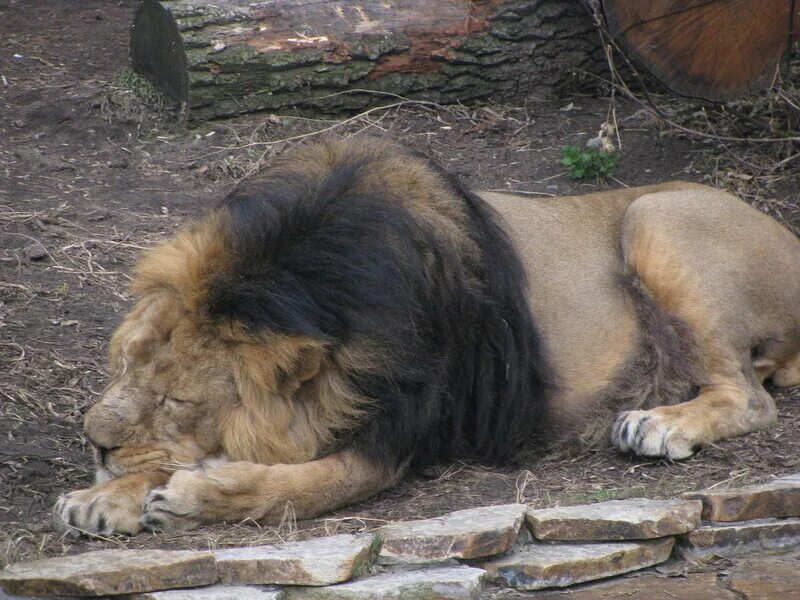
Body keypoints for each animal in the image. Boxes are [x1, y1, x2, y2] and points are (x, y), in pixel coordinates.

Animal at [51, 136, 800, 536]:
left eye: (177, 402)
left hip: (653, 216)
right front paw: (104, 496)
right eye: (121, 366)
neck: (306, 278)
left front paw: (193, 494)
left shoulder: (400, 434)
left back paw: (659, 422)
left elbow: (301, 486)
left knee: (751, 397)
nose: (93, 442)